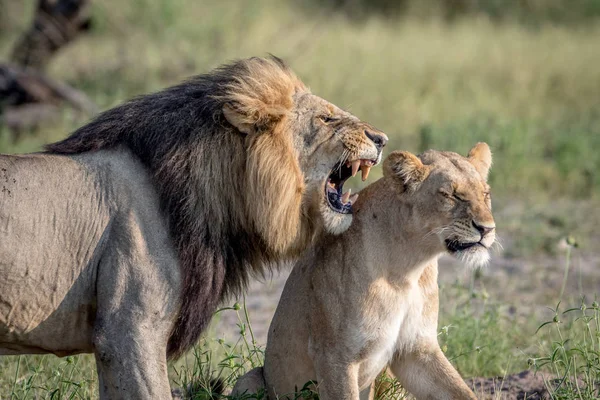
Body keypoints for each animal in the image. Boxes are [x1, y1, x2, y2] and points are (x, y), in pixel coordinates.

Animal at [232, 144, 494, 400]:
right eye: (452, 195)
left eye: (486, 194)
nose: (487, 229)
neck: (408, 267)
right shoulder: (334, 355)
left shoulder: (415, 350)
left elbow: (460, 391)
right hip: (251, 379)